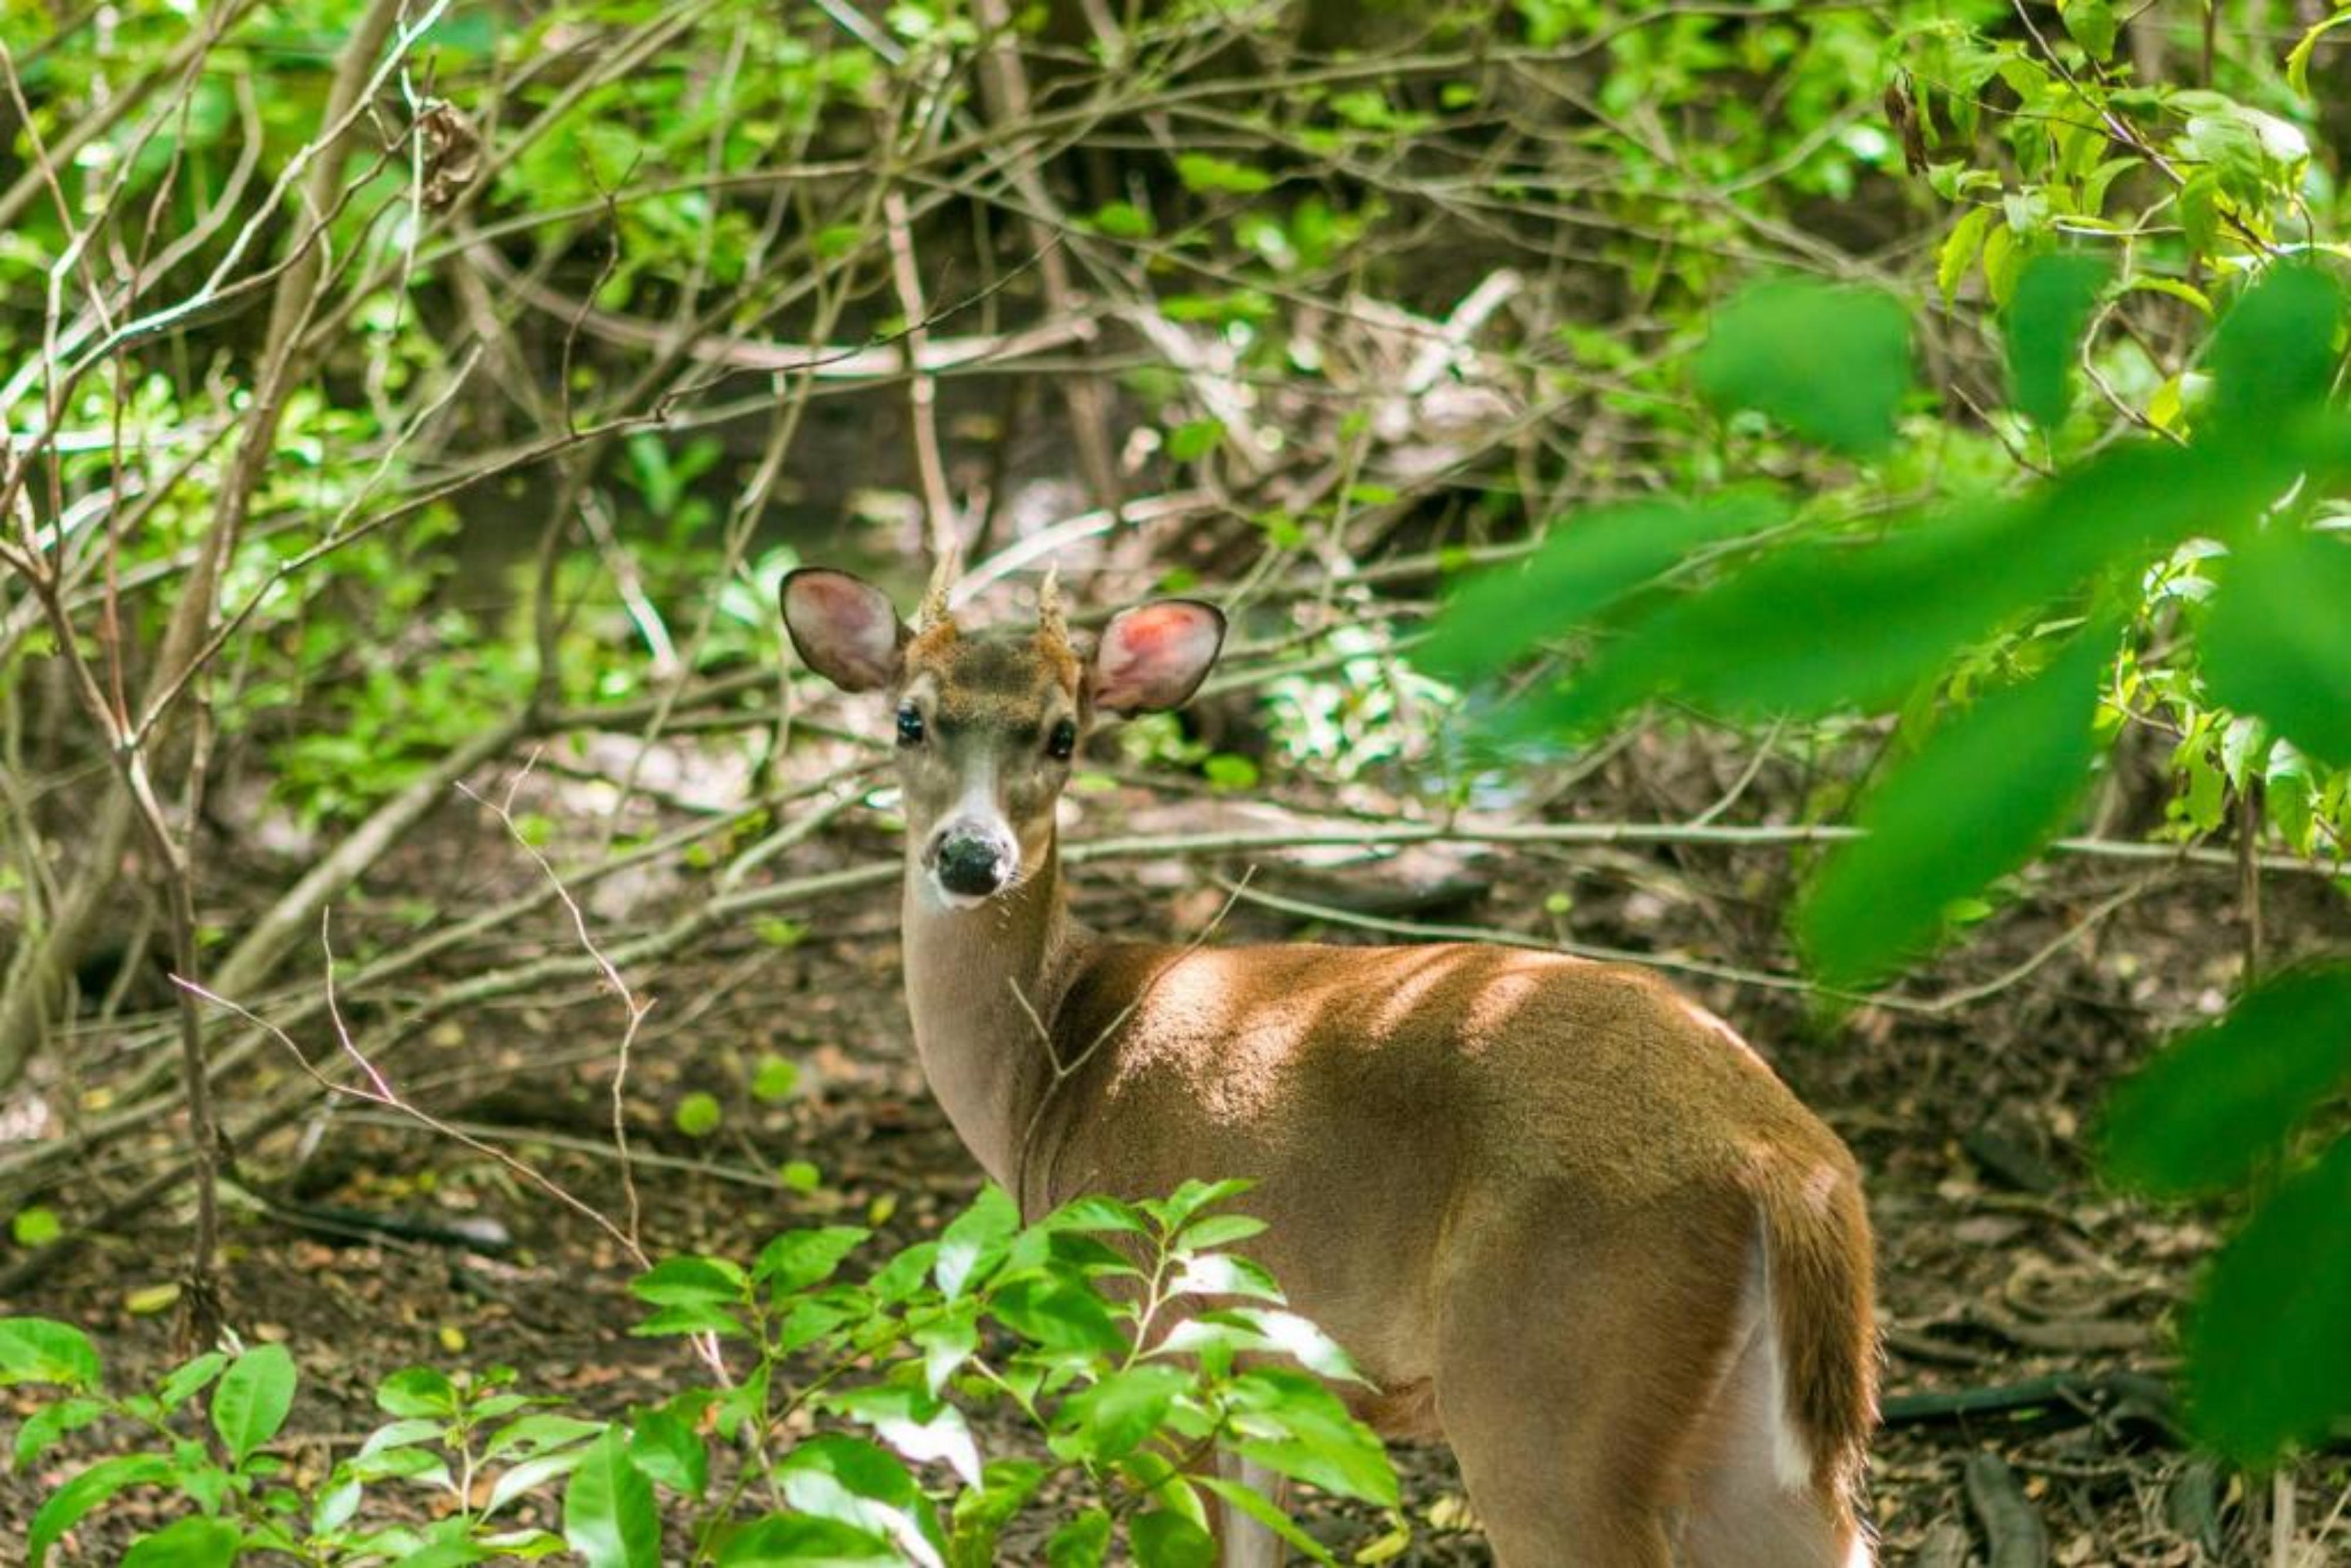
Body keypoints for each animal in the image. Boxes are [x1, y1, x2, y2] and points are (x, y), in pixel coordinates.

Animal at [781, 567, 1881, 1568]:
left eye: (1063, 735)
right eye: (910, 719)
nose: (973, 856)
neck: (1050, 1070)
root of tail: (1785, 1162)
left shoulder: (1162, 1334)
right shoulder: (1269, 1377)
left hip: (1546, 1386)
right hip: (1760, 1441)